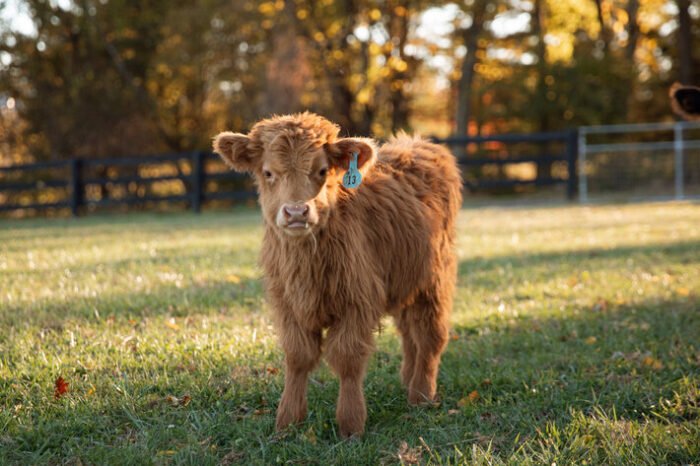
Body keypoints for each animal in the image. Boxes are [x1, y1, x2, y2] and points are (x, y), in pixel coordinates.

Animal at [213, 113, 464, 436]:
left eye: (322, 170)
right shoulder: (287, 304)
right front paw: (288, 421)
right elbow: (298, 356)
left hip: (434, 277)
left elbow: (347, 358)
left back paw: (421, 395)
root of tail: (418, 143)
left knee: (431, 334)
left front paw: (351, 424)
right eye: (268, 172)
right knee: (410, 333)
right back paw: (409, 380)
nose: (296, 212)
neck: (306, 264)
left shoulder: (357, 300)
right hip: (404, 279)